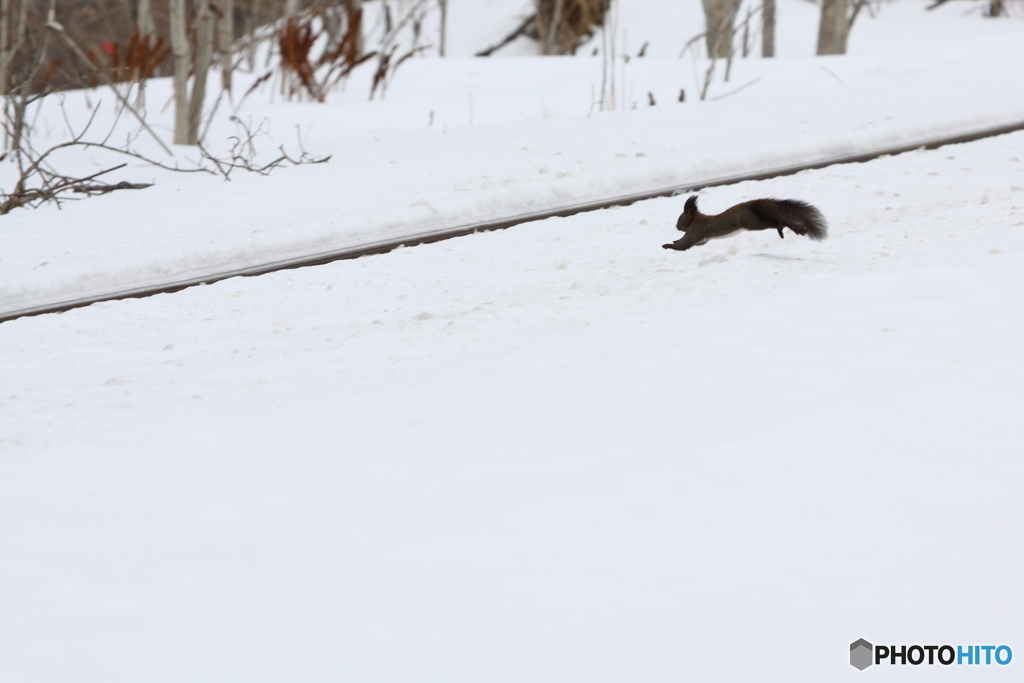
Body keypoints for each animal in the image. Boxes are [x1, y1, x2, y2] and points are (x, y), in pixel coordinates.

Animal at [663, 194, 823, 250]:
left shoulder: (695, 230)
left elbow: (684, 245)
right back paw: (794, 229)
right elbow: (697, 243)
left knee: (776, 221)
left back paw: (784, 228)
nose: (676, 226)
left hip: (751, 222)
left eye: (680, 219)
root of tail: (753, 205)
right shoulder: (702, 238)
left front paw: (668, 245)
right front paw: (673, 241)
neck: (696, 220)